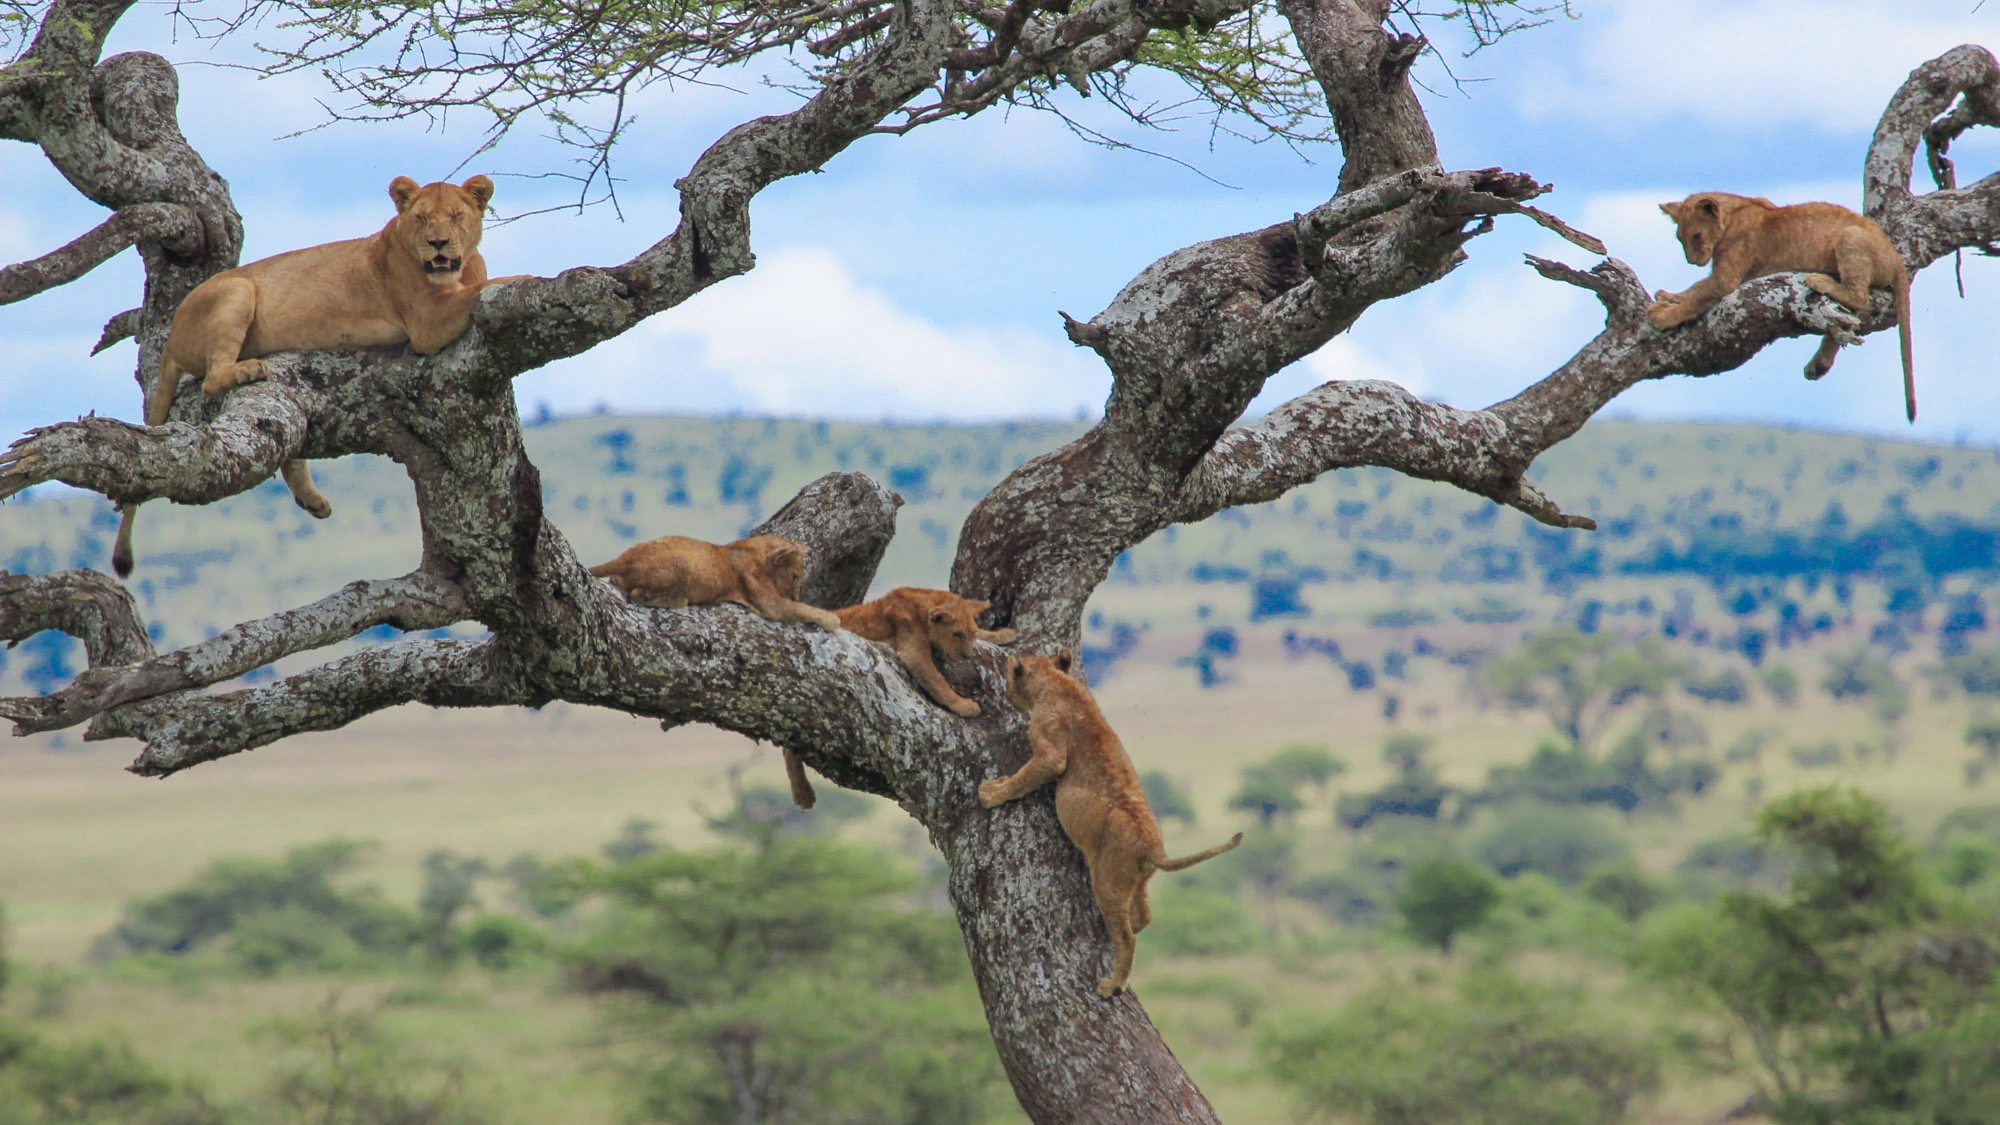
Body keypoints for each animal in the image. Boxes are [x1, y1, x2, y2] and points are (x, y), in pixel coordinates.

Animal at [112, 174, 521, 577]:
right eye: (422, 219)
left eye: (455, 217)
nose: (438, 243)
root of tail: (172, 334)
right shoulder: (427, 320)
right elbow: (484, 288)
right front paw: (525, 277)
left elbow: (481, 285)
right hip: (238, 289)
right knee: (214, 378)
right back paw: (249, 370)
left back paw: (313, 501)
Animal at [978, 653, 1243, 998]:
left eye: (1010, 675)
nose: (1008, 694)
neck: (1056, 682)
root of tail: (1154, 848)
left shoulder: (1050, 753)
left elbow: (1024, 777)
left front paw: (991, 793)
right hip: (1138, 878)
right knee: (1144, 915)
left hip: (1108, 879)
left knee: (1126, 936)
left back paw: (1113, 984)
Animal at [1647, 191, 1915, 422]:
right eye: (1680, 239)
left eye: (1697, 237)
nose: (1692, 261)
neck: (1734, 213)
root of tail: (1895, 257)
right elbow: (1693, 290)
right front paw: (1668, 297)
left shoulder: (1727, 278)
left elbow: (1698, 294)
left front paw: (1663, 316)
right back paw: (1818, 364)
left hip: (1850, 237)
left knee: (1859, 297)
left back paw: (1819, 281)